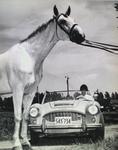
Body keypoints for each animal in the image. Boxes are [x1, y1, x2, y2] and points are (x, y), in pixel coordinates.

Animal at [0, 5, 85, 149]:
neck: (29, 56)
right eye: (62, 21)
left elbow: (25, 116)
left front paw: (26, 142)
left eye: (73, 19)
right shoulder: (18, 90)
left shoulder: (30, 92)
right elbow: (17, 116)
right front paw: (16, 144)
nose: (81, 36)